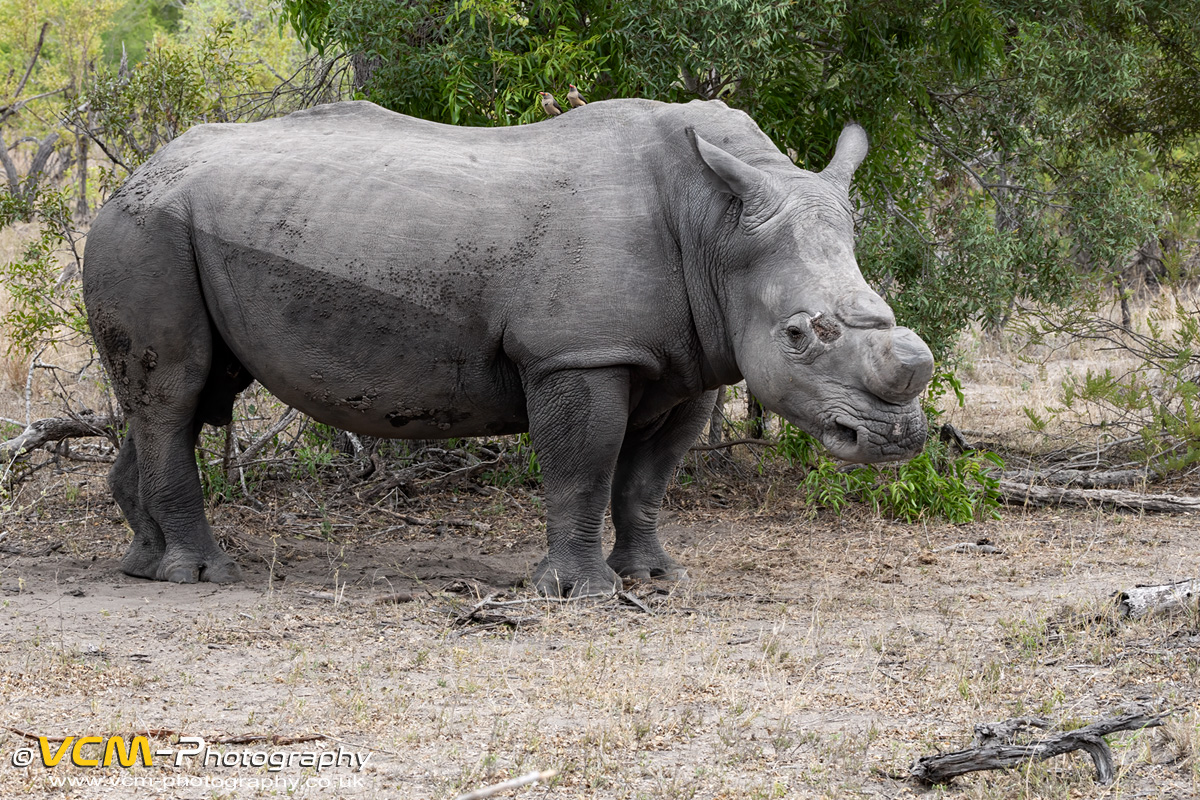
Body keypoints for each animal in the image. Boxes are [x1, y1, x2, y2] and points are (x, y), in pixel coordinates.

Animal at [82, 99, 933, 596]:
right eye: (799, 335)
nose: (894, 439)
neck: (718, 227)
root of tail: (137, 172)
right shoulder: (580, 354)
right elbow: (583, 468)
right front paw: (580, 595)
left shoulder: (691, 361)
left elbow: (647, 479)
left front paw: (657, 578)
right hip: (145, 230)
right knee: (176, 389)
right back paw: (199, 575)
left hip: (169, 226)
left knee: (185, 396)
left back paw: (142, 563)